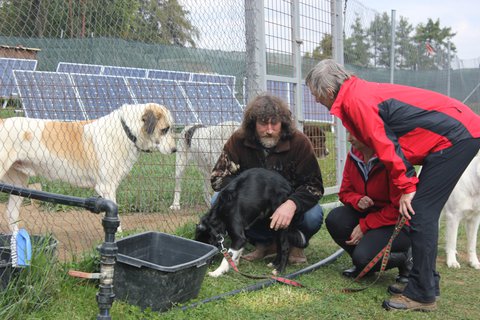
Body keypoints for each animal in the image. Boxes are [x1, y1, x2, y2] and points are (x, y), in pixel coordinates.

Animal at [0, 102, 176, 232]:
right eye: (165, 129)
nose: (175, 150)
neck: (126, 131)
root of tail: (3, 121)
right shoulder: (107, 187)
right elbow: (115, 218)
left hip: (19, 184)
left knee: (11, 213)